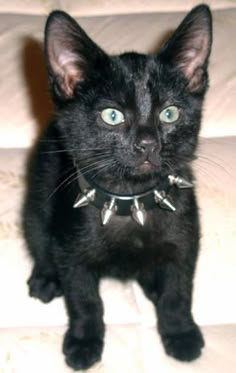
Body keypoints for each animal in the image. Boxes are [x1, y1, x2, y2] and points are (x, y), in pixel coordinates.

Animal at [23, 5, 213, 370]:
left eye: (170, 114)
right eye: (112, 116)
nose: (148, 144)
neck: (131, 201)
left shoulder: (186, 238)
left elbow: (179, 290)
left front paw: (180, 332)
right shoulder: (71, 252)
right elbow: (85, 300)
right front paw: (84, 341)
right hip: (37, 199)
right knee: (39, 238)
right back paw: (45, 278)